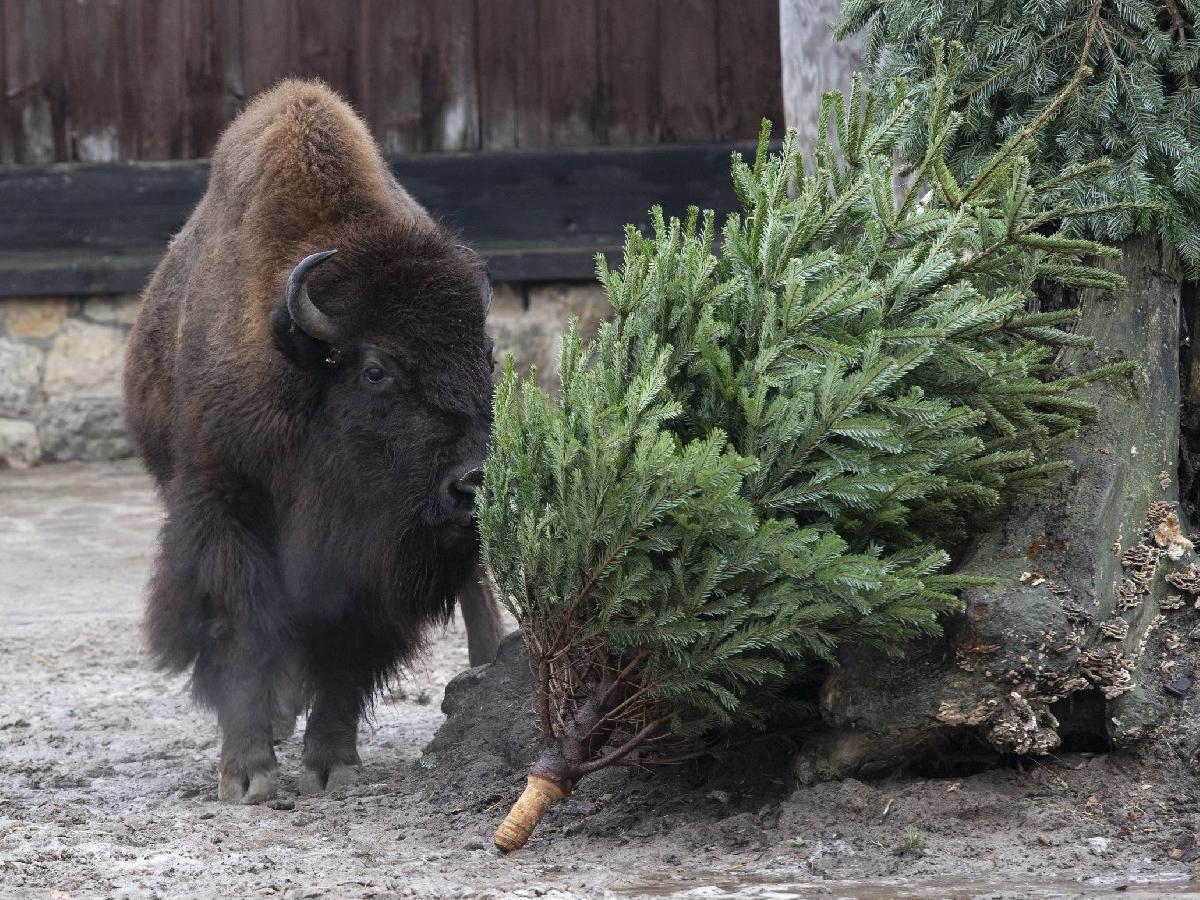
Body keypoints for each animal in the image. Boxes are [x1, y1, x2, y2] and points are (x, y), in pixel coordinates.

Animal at [119, 81, 499, 806]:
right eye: (376, 369)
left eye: (487, 359)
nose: (472, 482)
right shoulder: (225, 505)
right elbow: (241, 627)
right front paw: (249, 774)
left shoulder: (367, 556)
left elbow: (347, 640)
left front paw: (331, 763)